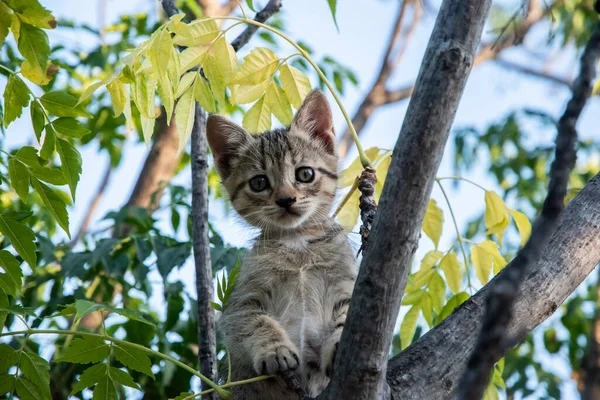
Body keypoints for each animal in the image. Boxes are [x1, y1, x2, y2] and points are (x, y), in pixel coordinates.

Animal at [206, 91, 356, 400]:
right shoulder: (240, 304)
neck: (297, 246)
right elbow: (257, 323)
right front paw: (275, 350)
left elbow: (345, 317)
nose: (286, 199)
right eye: (259, 182)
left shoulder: (347, 284)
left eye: (305, 174)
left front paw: (337, 342)